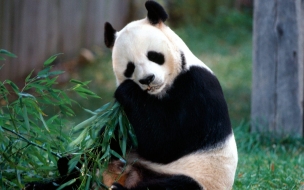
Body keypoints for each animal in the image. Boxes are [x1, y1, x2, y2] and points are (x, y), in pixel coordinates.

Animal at [25, 0, 238, 189]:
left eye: (154, 56)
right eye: (129, 68)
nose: (147, 79)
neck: (160, 91)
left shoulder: (197, 89)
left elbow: (166, 142)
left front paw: (126, 90)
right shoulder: (124, 119)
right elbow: (112, 138)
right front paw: (70, 163)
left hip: (199, 176)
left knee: (176, 186)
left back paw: (118, 188)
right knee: (81, 172)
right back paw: (53, 178)